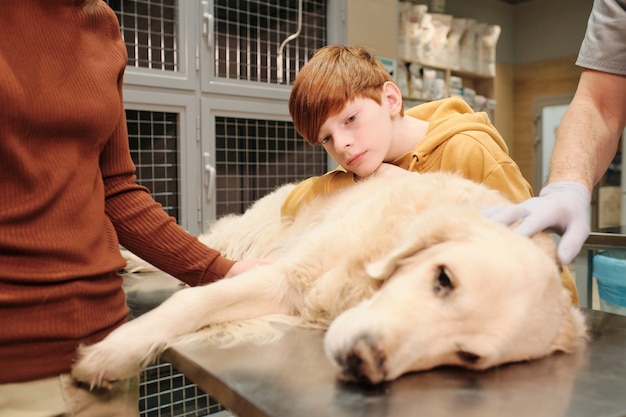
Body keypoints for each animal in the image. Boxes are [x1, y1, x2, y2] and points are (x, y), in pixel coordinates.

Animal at [72, 171, 584, 386]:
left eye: (468, 356)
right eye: (444, 278)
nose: (363, 360)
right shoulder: (285, 274)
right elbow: (191, 303)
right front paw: (112, 354)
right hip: (245, 239)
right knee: (196, 250)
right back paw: (127, 259)